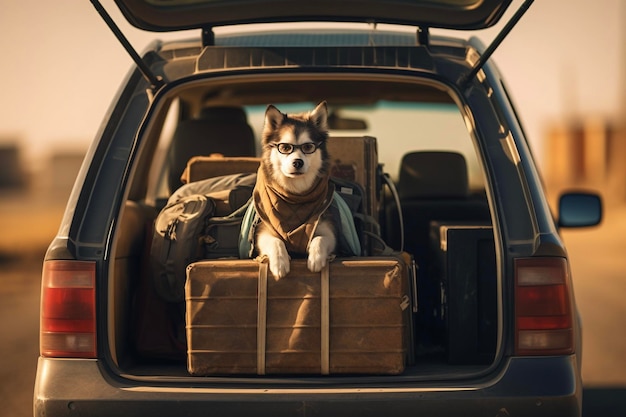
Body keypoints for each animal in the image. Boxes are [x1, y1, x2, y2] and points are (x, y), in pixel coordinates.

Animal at [251, 100, 336, 280]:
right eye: (285, 147)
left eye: (308, 147)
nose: (298, 162)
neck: (295, 196)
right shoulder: (263, 231)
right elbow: (275, 242)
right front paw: (280, 263)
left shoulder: (327, 228)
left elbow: (321, 238)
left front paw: (316, 258)